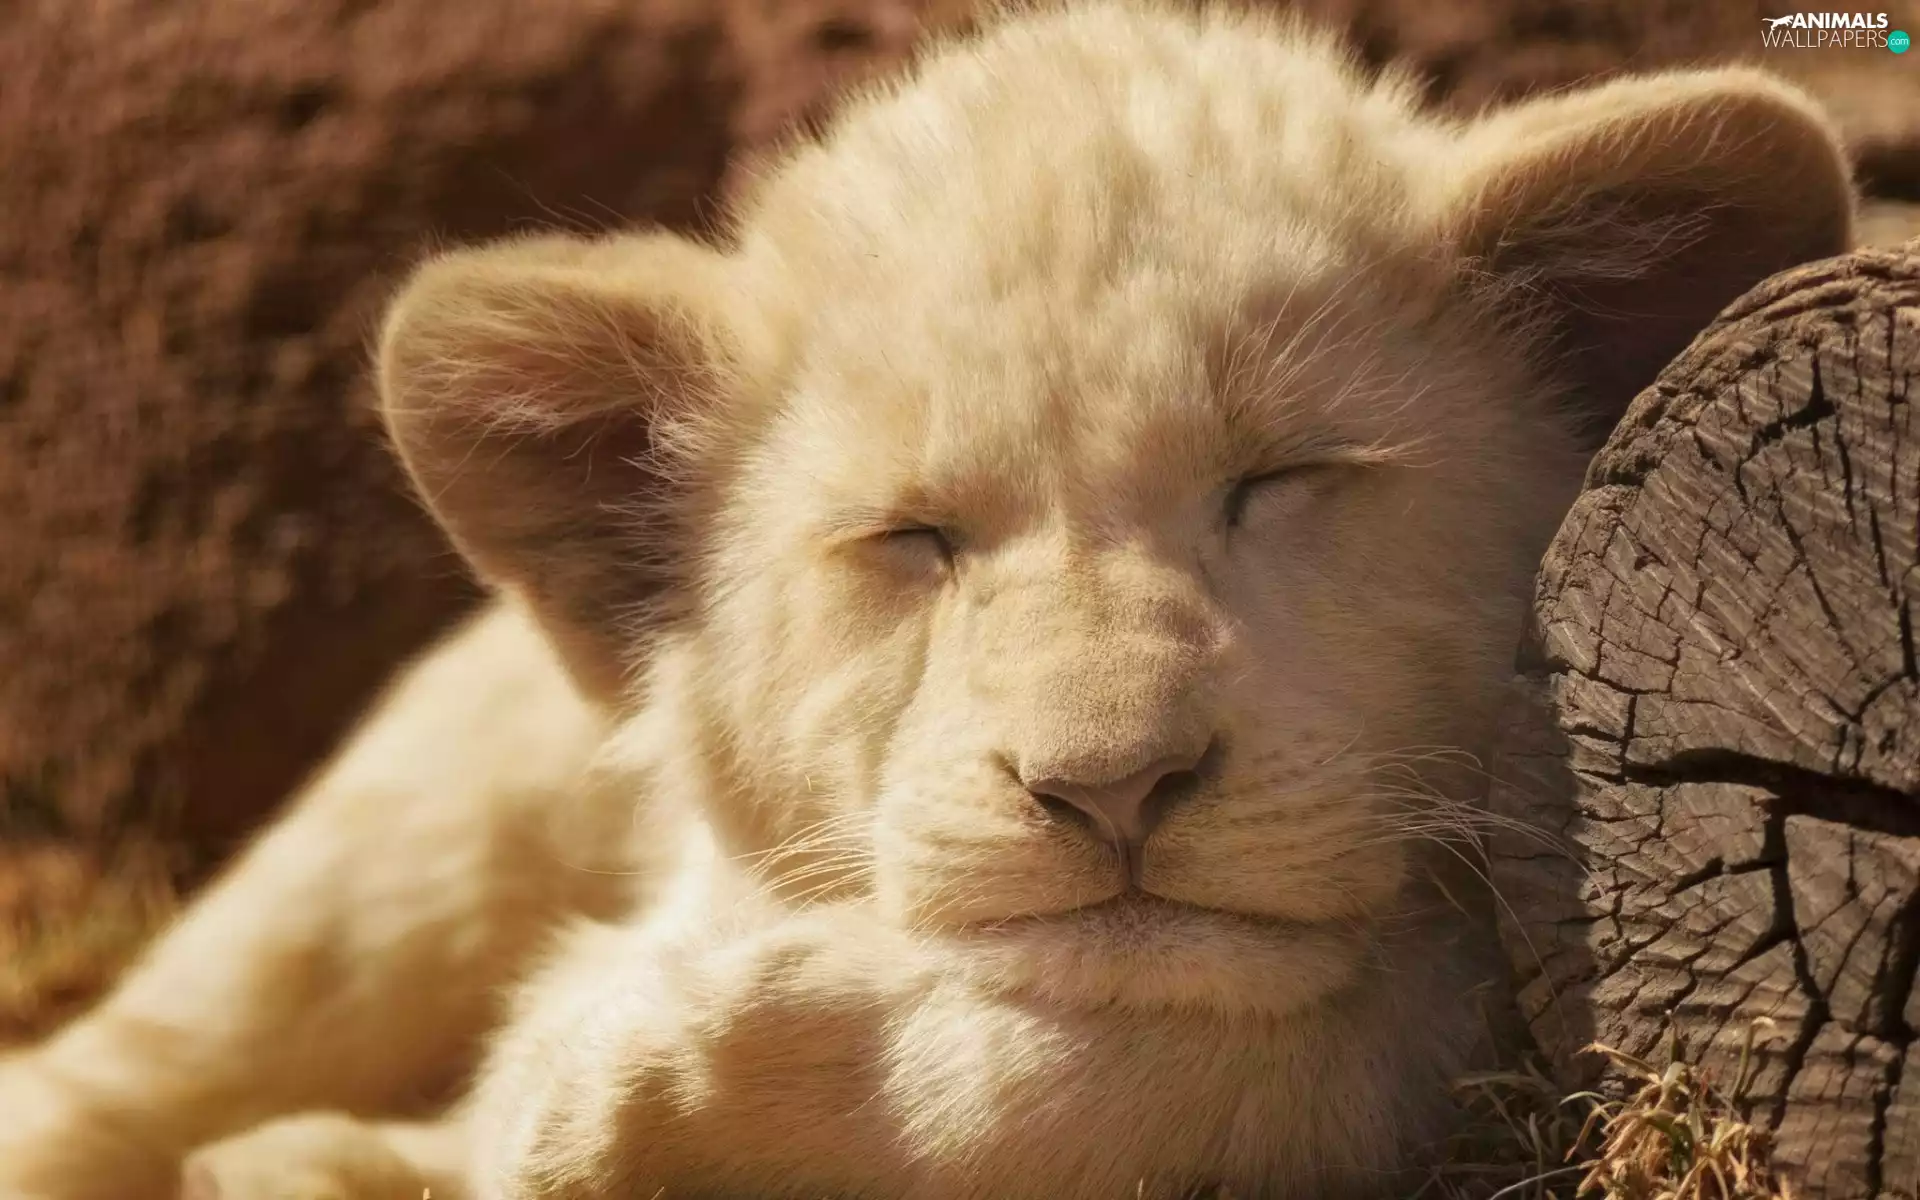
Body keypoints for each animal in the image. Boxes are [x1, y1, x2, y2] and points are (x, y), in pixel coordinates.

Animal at [0, 2, 1853, 1197]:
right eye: (913, 540)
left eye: (1285, 477)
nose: (1110, 786)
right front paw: (574, 1079)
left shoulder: (1484, 993)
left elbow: (1280, 1044)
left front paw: (617, 1077)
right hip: (406, 847)